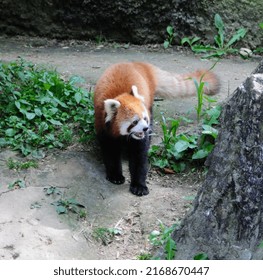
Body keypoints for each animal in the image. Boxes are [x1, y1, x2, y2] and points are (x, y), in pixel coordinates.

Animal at [94, 62, 220, 196]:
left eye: (145, 118)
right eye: (135, 122)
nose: (145, 128)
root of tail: (135, 63)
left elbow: (139, 157)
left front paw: (139, 186)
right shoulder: (103, 127)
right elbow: (110, 151)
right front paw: (115, 176)